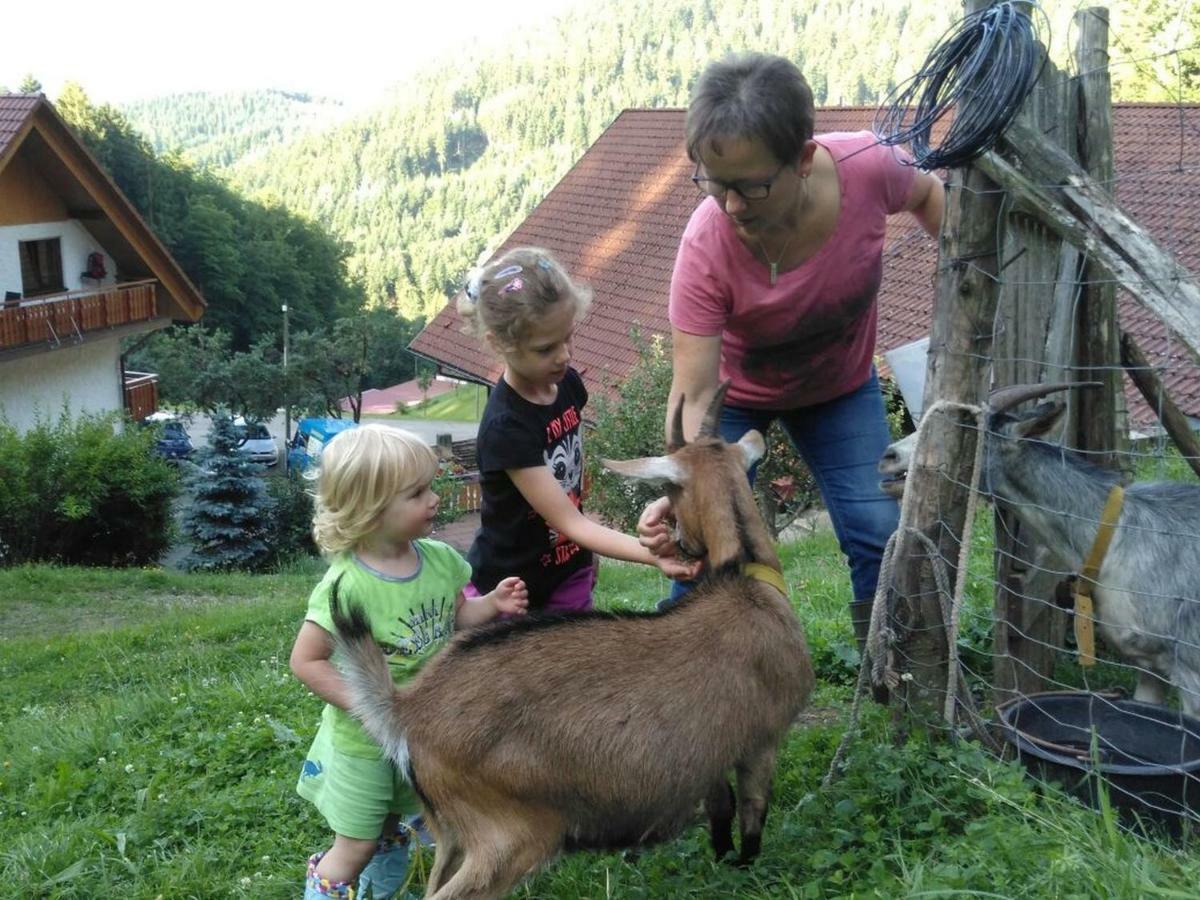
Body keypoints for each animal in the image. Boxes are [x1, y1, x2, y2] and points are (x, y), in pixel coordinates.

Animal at [328, 388, 816, 900]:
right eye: (669, 490)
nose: (681, 541)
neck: (745, 579)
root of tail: (408, 710)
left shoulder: (713, 751)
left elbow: (722, 809)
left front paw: (722, 860)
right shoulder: (762, 739)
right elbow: (753, 812)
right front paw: (746, 866)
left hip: (451, 832)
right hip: (510, 833)